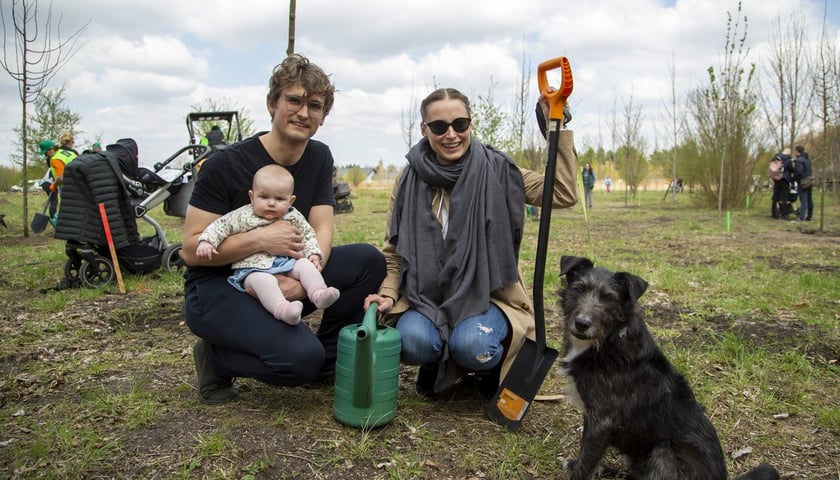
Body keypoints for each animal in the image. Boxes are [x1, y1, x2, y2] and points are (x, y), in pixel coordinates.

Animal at [556, 256, 780, 480]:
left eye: (609, 298)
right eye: (579, 289)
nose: (581, 323)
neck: (608, 340)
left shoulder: (602, 421)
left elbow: (587, 461)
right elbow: (586, 455)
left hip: (665, 453)